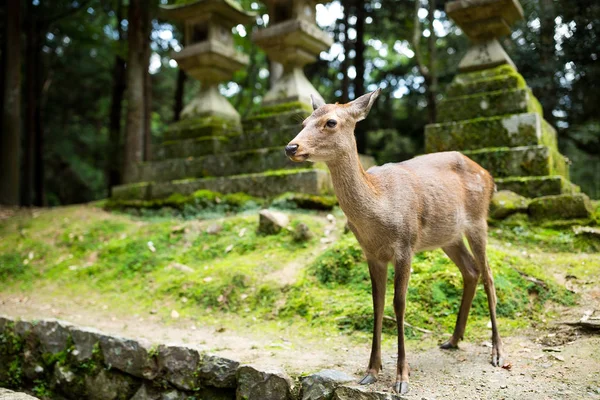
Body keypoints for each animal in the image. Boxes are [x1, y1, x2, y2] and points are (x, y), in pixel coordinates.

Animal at [286, 88, 506, 394]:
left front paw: (402, 377)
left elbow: (399, 303)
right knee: (471, 270)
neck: (380, 207)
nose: (291, 147)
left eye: (330, 122)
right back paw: (453, 339)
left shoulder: (405, 245)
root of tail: (489, 176)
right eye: (304, 121)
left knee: (489, 276)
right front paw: (370, 371)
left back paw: (497, 352)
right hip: (448, 236)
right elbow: (377, 303)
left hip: (478, 220)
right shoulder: (371, 253)